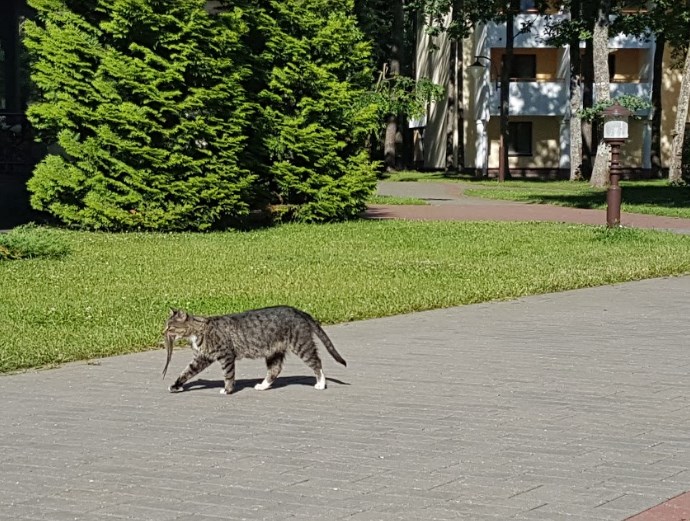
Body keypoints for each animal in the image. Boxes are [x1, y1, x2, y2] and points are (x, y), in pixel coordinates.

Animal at [161, 304, 344, 394]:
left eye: (170, 327)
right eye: (166, 325)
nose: (163, 332)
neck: (199, 330)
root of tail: (297, 310)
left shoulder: (226, 355)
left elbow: (228, 375)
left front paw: (227, 390)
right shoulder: (202, 358)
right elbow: (186, 372)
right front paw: (176, 385)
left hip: (301, 345)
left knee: (316, 362)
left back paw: (321, 383)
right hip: (274, 351)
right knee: (275, 369)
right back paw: (263, 386)